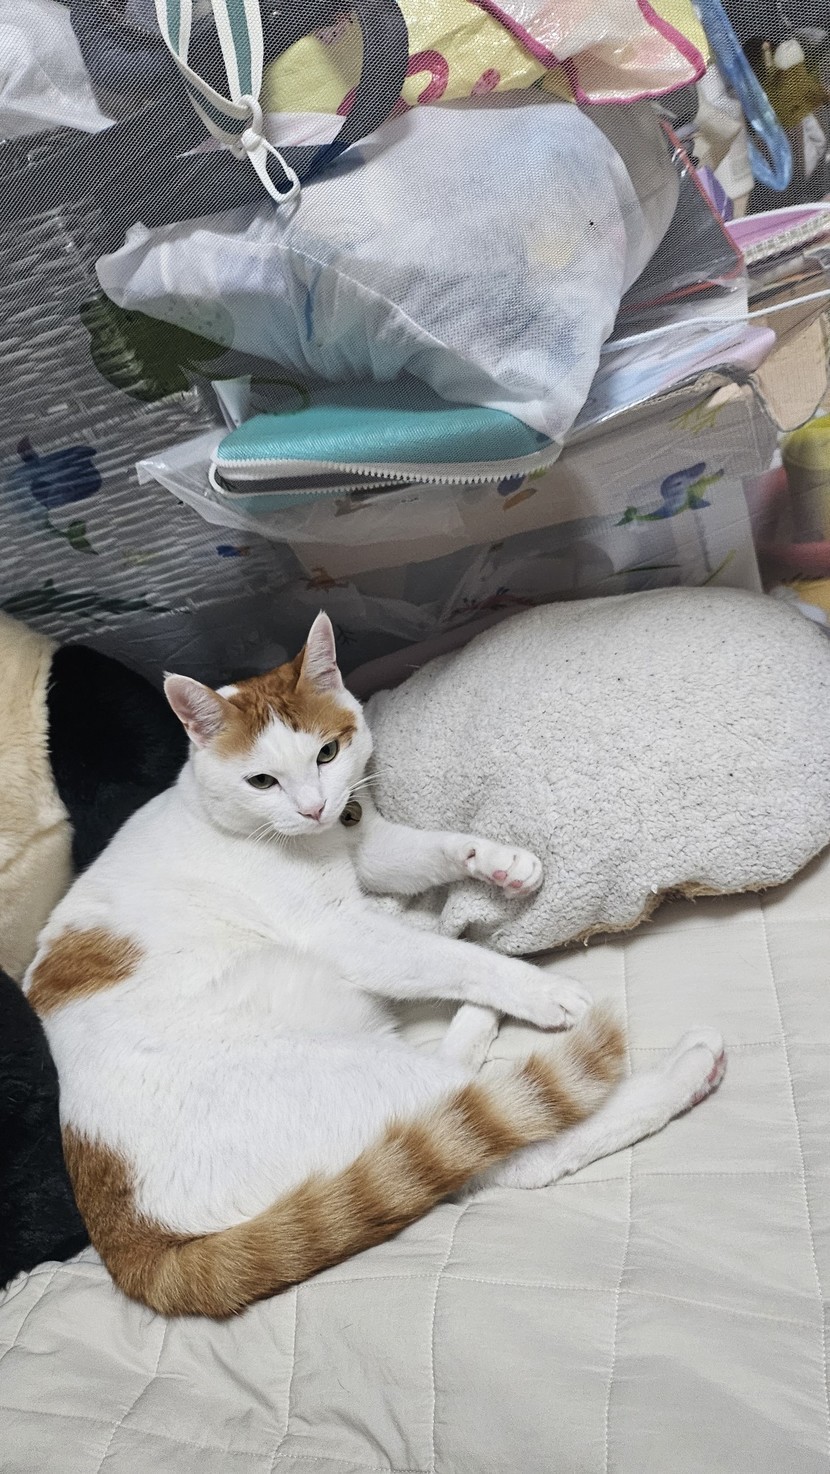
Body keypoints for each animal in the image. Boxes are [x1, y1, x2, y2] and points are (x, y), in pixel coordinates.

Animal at [24, 613, 725, 1318]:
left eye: (327, 755)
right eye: (261, 782)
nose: (312, 809)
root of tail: (129, 1242)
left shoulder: (368, 841)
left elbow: (431, 849)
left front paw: (502, 862)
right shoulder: (343, 933)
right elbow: (448, 954)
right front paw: (537, 988)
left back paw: (480, 1019)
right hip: (365, 1077)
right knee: (518, 1141)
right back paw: (686, 1068)